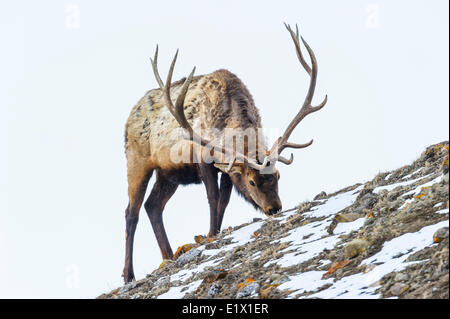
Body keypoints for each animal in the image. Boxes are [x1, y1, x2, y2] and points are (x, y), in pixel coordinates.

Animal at [123, 23, 326, 282]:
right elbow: (213, 197)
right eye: (252, 181)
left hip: (168, 173)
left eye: (278, 176)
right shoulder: (203, 158)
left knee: (153, 205)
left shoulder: (228, 170)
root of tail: (130, 114)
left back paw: (168, 256)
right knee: (131, 212)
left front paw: (217, 232)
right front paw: (210, 234)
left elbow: (224, 201)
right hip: (136, 161)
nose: (274, 208)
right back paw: (128, 275)